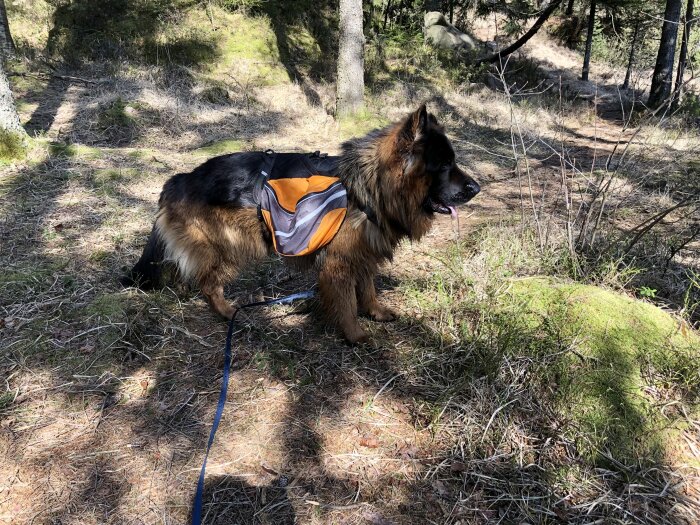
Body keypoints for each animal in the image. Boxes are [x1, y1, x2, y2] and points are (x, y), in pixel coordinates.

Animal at [123, 105, 478, 344]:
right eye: (444, 165)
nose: (477, 187)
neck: (368, 185)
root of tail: (180, 178)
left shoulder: (363, 254)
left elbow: (367, 289)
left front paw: (375, 312)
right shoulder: (339, 264)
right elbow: (348, 303)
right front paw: (355, 334)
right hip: (231, 245)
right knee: (208, 283)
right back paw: (226, 311)